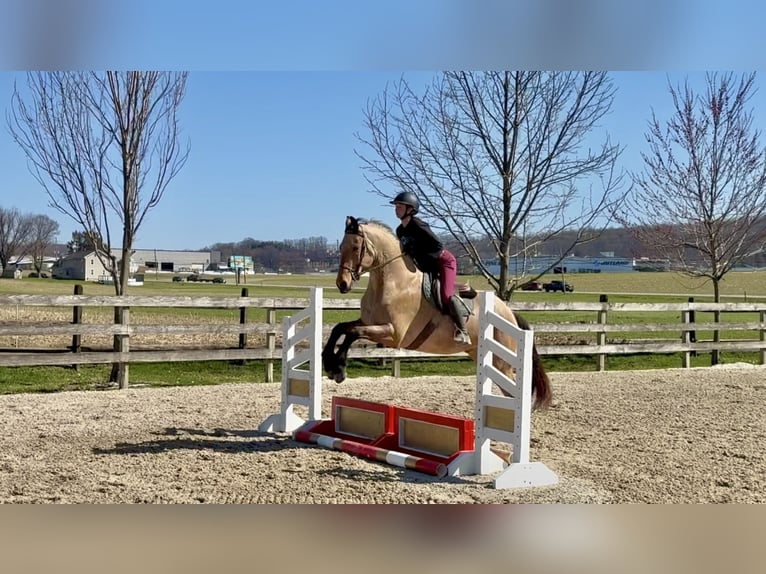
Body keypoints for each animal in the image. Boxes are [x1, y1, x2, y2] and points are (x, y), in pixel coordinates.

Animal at [321, 216, 552, 410]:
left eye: (355, 246)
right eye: (340, 247)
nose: (342, 284)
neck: (391, 282)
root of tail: (510, 313)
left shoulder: (394, 334)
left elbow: (353, 333)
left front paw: (339, 368)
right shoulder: (369, 322)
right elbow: (340, 328)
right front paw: (329, 363)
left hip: (502, 362)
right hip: (481, 354)